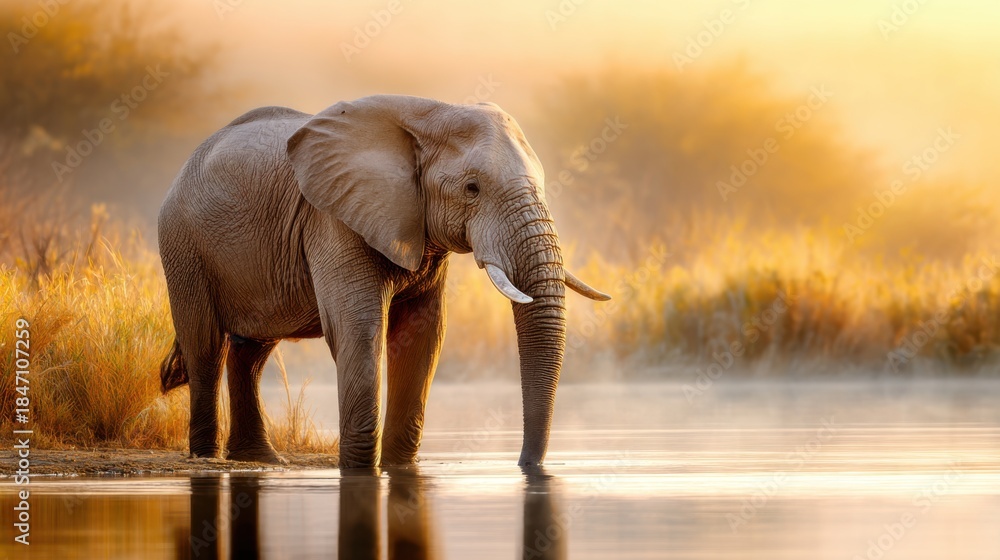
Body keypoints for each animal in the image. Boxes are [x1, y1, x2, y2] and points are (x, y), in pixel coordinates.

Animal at [157, 94, 609, 468]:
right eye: (472, 188)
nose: (525, 464)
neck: (430, 113)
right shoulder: (332, 219)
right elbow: (358, 329)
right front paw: (360, 469)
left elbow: (425, 334)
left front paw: (398, 467)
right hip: (183, 244)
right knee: (205, 346)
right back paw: (207, 456)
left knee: (251, 352)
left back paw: (260, 460)